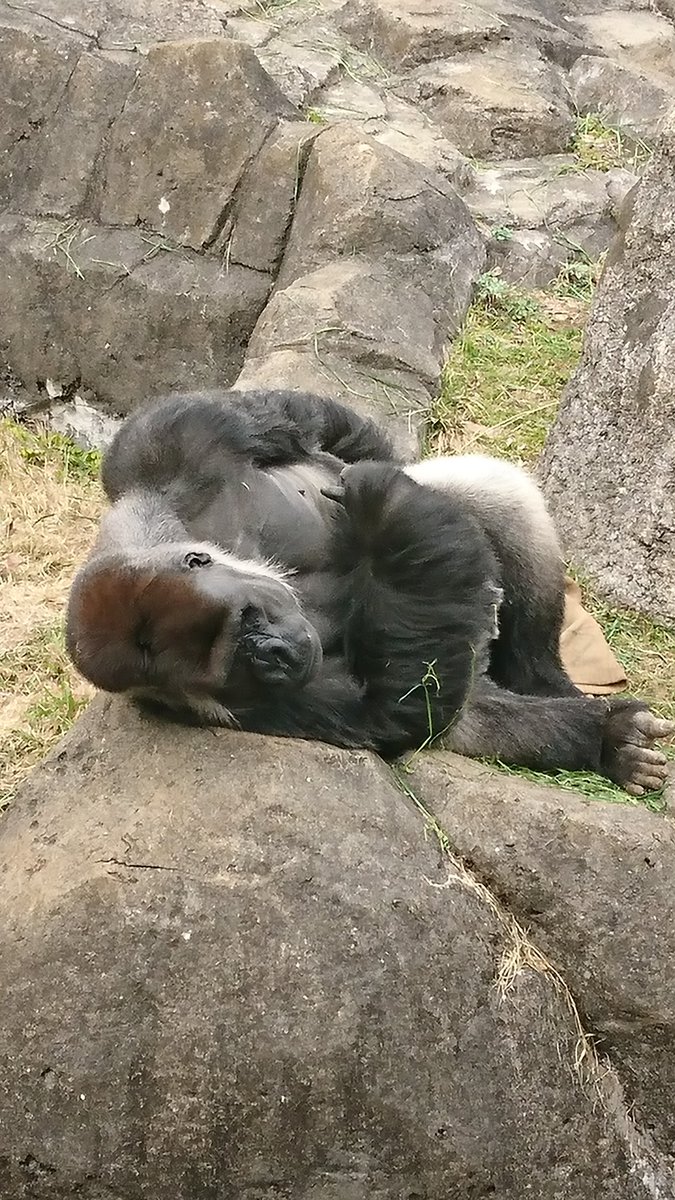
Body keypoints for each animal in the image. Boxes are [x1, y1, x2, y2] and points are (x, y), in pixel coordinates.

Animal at [66, 386, 672, 796]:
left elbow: (299, 418)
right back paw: (605, 741)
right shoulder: (207, 710)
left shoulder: (167, 442)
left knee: (489, 492)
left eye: (247, 621)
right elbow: (393, 710)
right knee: (464, 713)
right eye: (234, 665)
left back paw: (543, 676)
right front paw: (388, 508)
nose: (275, 656)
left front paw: (378, 489)